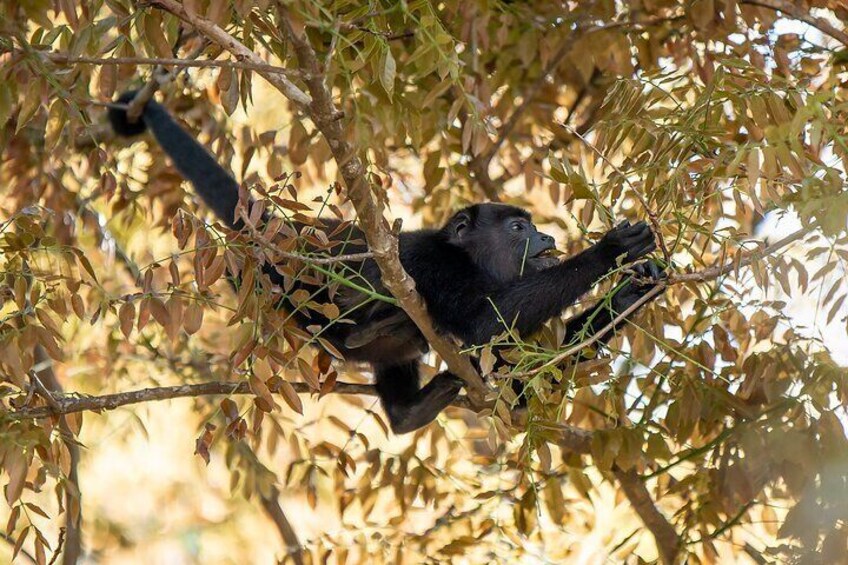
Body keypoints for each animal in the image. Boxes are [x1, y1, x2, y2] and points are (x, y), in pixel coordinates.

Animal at [107, 94, 664, 434]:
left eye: (533, 226)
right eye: (516, 228)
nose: (546, 236)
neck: (471, 261)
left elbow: (521, 388)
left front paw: (634, 290)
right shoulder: (432, 262)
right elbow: (480, 320)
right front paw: (611, 251)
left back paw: (409, 406)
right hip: (273, 277)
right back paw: (371, 325)